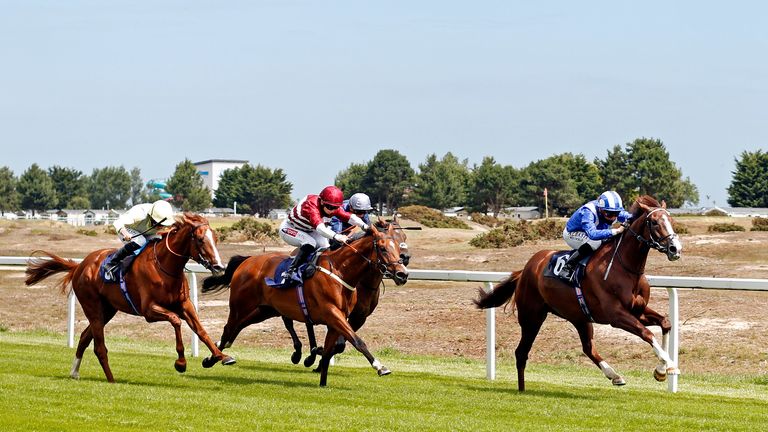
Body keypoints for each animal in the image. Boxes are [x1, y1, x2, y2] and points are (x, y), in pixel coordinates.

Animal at [24, 213, 234, 382]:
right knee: (99, 347)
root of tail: (79, 266)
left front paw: (220, 357)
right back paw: (111, 380)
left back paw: (75, 372)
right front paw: (181, 363)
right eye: (199, 239)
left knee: (84, 337)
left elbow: (201, 330)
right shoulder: (149, 310)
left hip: (107, 310)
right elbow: (175, 321)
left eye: (215, 238)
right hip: (92, 307)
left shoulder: (185, 305)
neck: (165, 266)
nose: (218, 266)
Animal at [201, 221, 412, 386]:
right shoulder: (332, 313)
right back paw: (217, 358)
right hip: (240, 305)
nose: (402, 274)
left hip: (264, 310)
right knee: (229, 328)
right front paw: (380, 367)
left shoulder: (339, 319)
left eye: (398, 246)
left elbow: (330, 351)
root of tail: (248, 260)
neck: (341, 271)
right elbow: (357, 341)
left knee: (236, 329)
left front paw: (322, 382)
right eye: (383, 248)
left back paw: (215, 354)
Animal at [474, 196, 684, 392]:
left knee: (588, 347)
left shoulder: (637, 310)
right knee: (521, 352)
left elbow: (665, 323)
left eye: (671, 220)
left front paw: (661, 370)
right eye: (655, 222)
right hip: (531, 317)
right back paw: (522, 389)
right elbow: (647, 333)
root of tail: (526, 269)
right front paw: (670, 365)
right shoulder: (616, 316)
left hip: (579, 317)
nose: (675, 249)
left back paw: (614, 375)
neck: (625, 267)